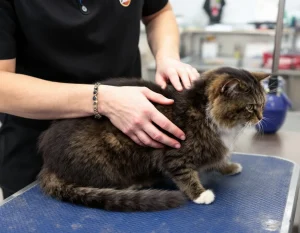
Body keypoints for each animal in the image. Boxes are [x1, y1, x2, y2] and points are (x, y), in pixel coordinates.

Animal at [37, 67, 270, 211]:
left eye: (263, 103)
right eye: (250, 107)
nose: (260, 117)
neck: (203, 111)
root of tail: (49, 165)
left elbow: (218, 160)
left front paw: (229, 166)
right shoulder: (175, 153)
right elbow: (185, 175)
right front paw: (200, 194)